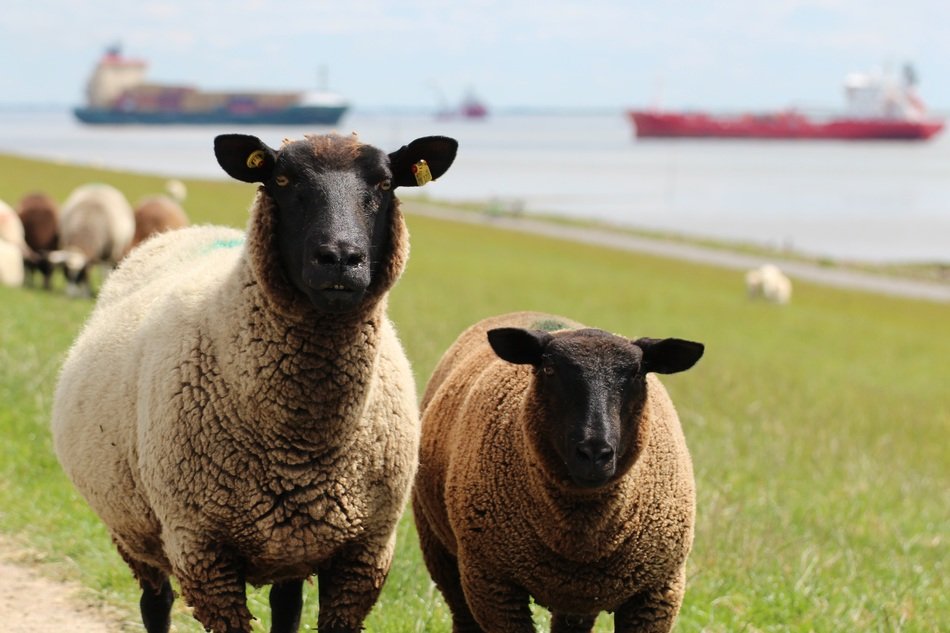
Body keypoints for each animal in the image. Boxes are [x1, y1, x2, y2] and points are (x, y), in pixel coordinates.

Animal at [52, 131, 458, 633]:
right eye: (282, 179)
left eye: (385, 183)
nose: (340, 259)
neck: (303, 441)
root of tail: (189, 231)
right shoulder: (203, 551)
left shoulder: (365, 555)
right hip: (134, 531)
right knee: (155, 603)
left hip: (294, 544)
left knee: (286, 605)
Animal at [412, 311, 704, 633]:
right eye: (549, 369)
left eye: (638, 373)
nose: (594, 453)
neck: (581, 534)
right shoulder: (493, 585)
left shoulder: (657, 592)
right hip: (440, 549)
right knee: (462, 615)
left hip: (577, 596)